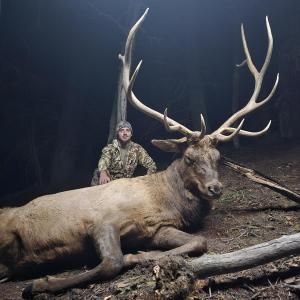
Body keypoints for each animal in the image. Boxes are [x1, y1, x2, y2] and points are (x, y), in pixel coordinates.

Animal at [0, 8, 278, 298]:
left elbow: (199, 241)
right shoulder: (102, 220)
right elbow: (112, 261)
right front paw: (40, 284)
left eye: (218, 158)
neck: (164, 200)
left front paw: (140, 255)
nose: (215, 188)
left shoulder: (160, 228)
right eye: (189, 158)